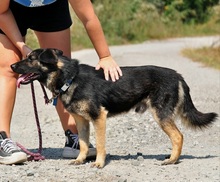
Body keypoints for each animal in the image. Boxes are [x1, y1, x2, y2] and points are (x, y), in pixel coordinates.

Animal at [10, 48, 218, 168]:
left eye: (31, 58)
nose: (11, 66)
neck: (70, 78)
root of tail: (178, 75)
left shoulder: (98, 117)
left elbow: (101, 144)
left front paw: (99, 164)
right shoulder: (82, 121)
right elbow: (84, 144)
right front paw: (80, 160)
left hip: (161, 115)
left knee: (178, 136)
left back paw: (172, 160)